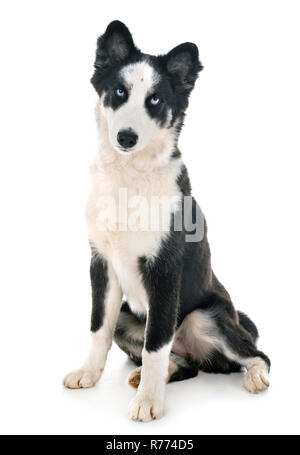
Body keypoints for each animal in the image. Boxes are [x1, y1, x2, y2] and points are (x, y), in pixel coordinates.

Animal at [62, 20, 270, 424]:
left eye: (155, 100)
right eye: (119, 91)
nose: (126, 137)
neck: (129, 178)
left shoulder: (164, 270)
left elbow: (156, 343)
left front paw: (148, 401)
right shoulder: (102, 265)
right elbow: (98, 327)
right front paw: (89, 373)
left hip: (204, 317)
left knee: (256, 354)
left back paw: (254, 377)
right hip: (128, 318)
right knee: (181, 364)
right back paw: (155, 373)